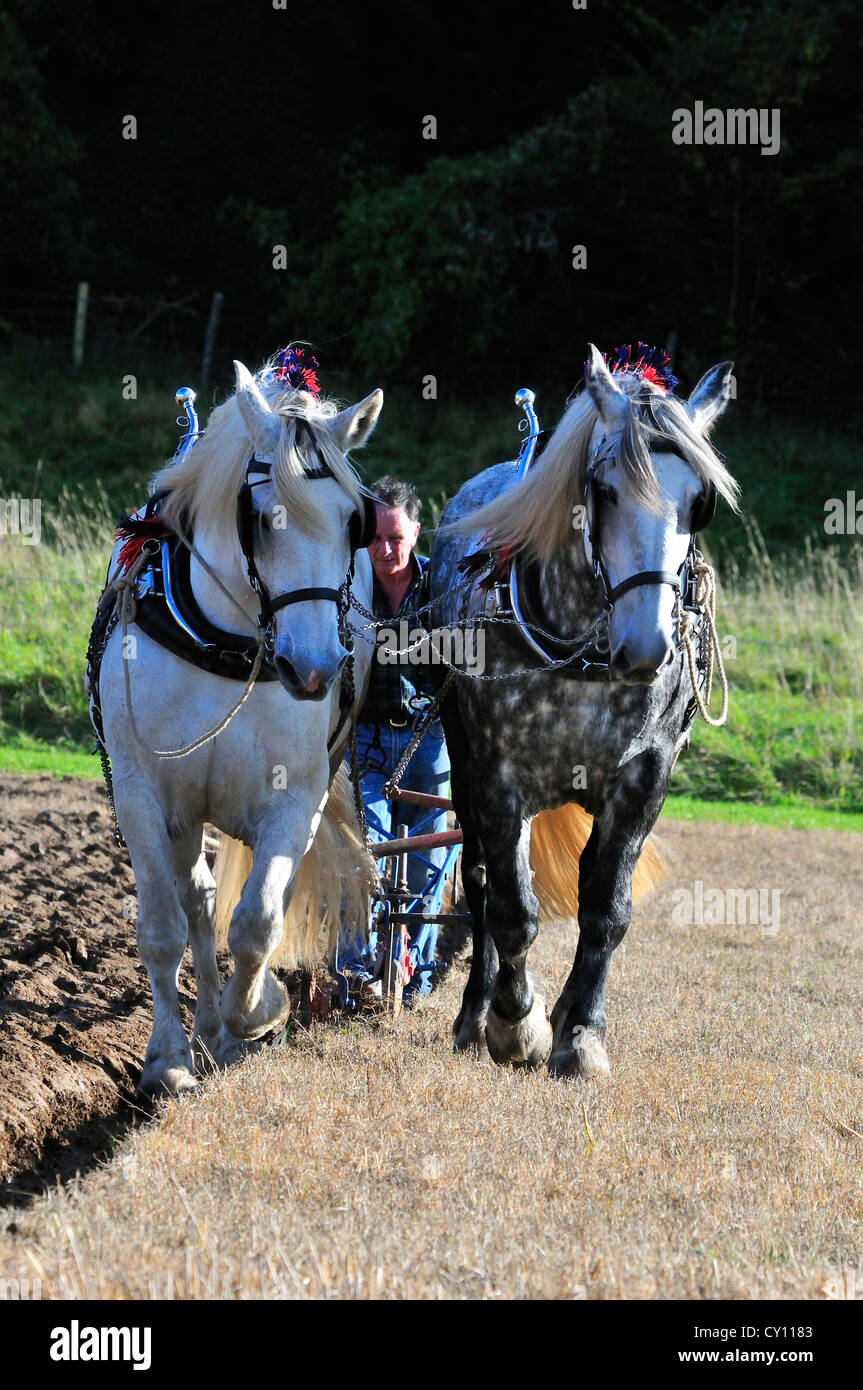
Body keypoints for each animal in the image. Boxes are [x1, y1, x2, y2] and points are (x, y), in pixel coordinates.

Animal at [88, 356, 383, 1096]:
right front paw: (168, 1059)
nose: (315, 667)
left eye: (354, 521)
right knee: (194, 902)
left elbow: (257, 920)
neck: (226, 645)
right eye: (264, 517)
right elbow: (163, 927)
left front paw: (256, 1013)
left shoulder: (295, 798)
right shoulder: (142, 795)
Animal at [430, 343, 739, 1078]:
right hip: (463, 767)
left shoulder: (645, 778)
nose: (646, 646)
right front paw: (515, 1023)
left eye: (700, 503)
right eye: (604, 491)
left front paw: (580, 1031)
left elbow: (606, 908)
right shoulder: (496, 776)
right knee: (479, 882)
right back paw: (477, 1011)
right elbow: (510, 908)